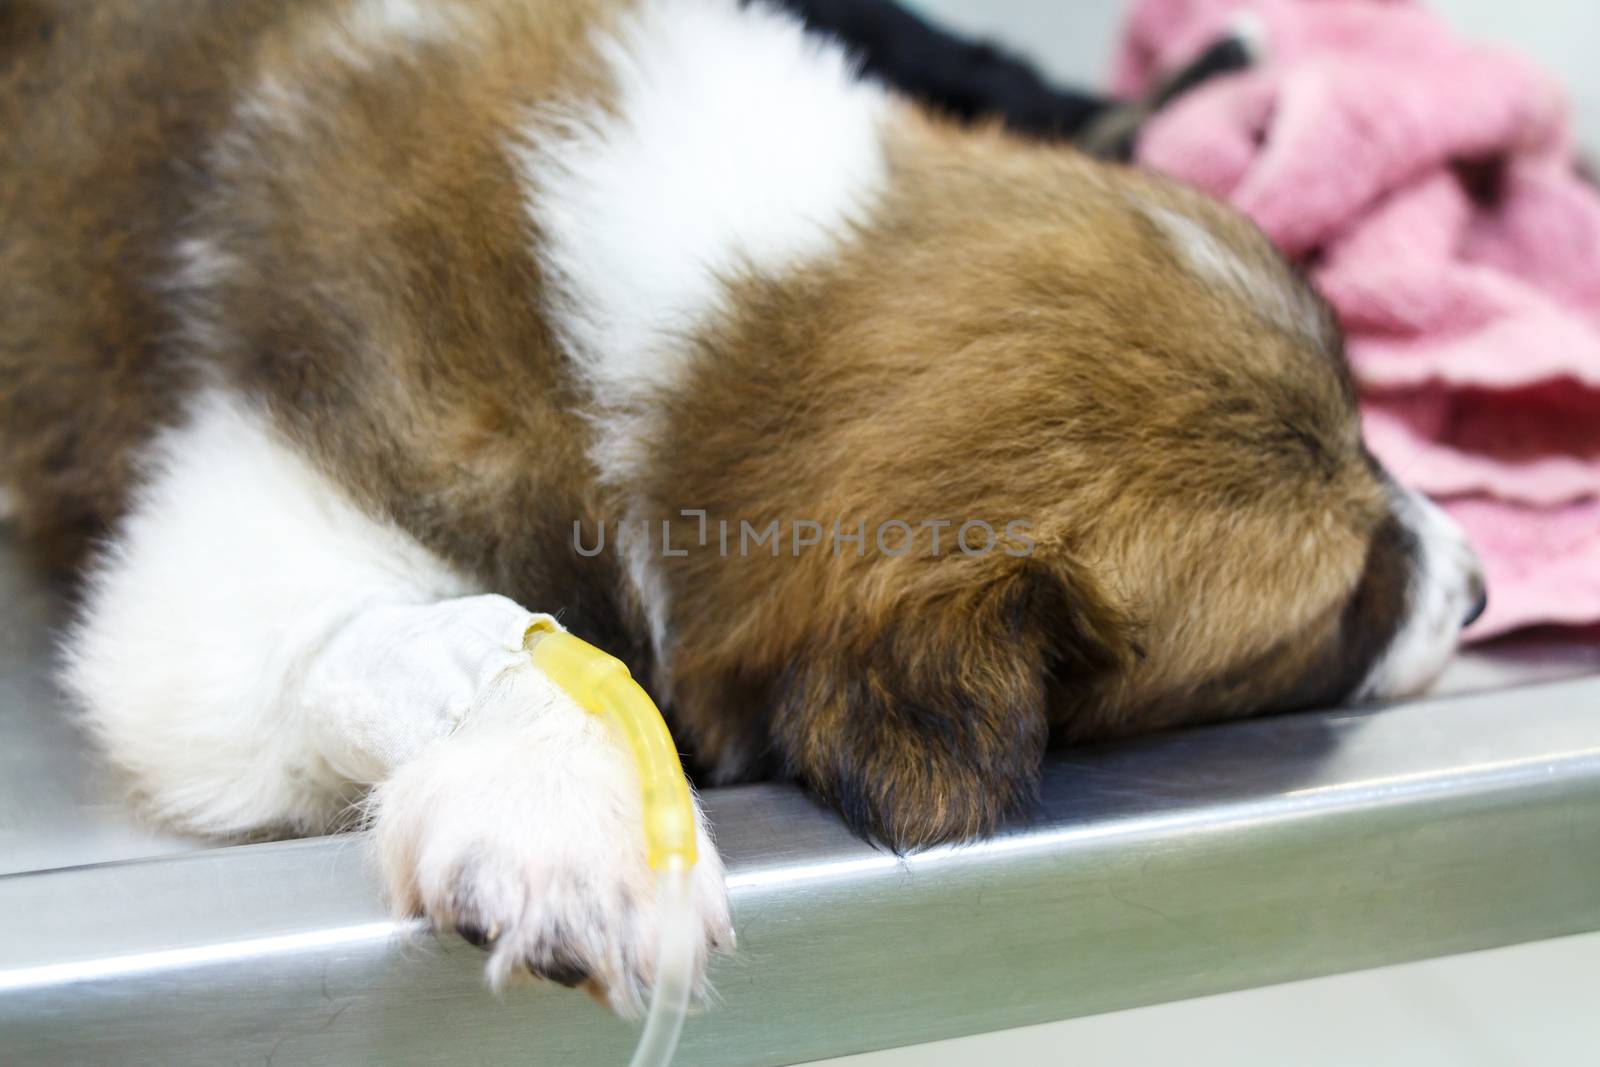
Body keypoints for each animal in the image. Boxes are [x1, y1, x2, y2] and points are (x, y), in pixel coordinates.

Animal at [0, 0, 1484, 1011]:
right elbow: (433, 629)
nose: (1476, 588)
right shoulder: (244, 522)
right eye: (1345, 603)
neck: (723, 324)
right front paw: (573, 792)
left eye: (1371, 423)